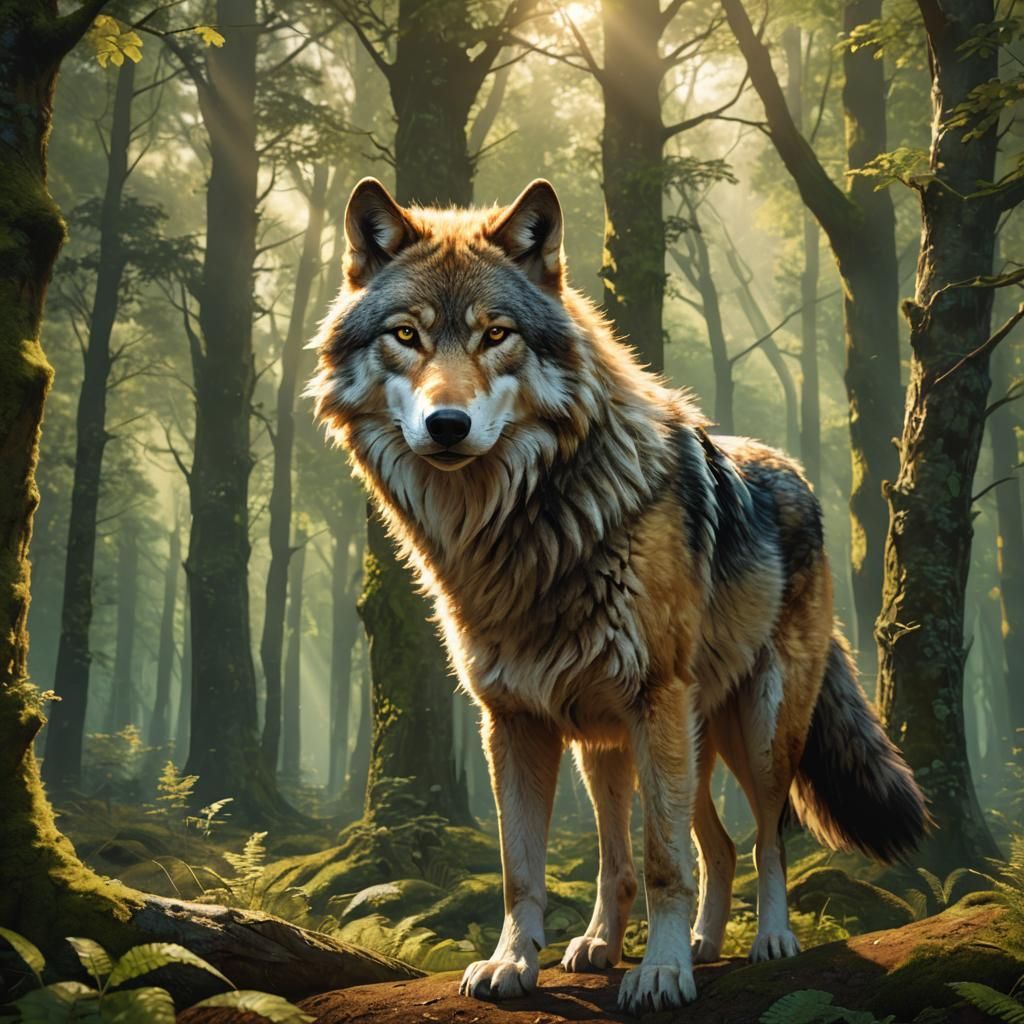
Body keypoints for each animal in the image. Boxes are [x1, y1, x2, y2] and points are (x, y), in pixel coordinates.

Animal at [309, 177, 929, 1015]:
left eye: (495, 334)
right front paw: (514, 964)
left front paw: (661, 973)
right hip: (617, 746)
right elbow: (524, 870)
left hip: (752, 731)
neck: (525, 530)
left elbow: (665, 861)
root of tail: (795, 473)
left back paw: (765, 941)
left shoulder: (653, 696)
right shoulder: (514, 721)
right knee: (685, 848)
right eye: (407, 334)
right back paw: (640, 944)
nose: (447, 424)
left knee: (764, 838)